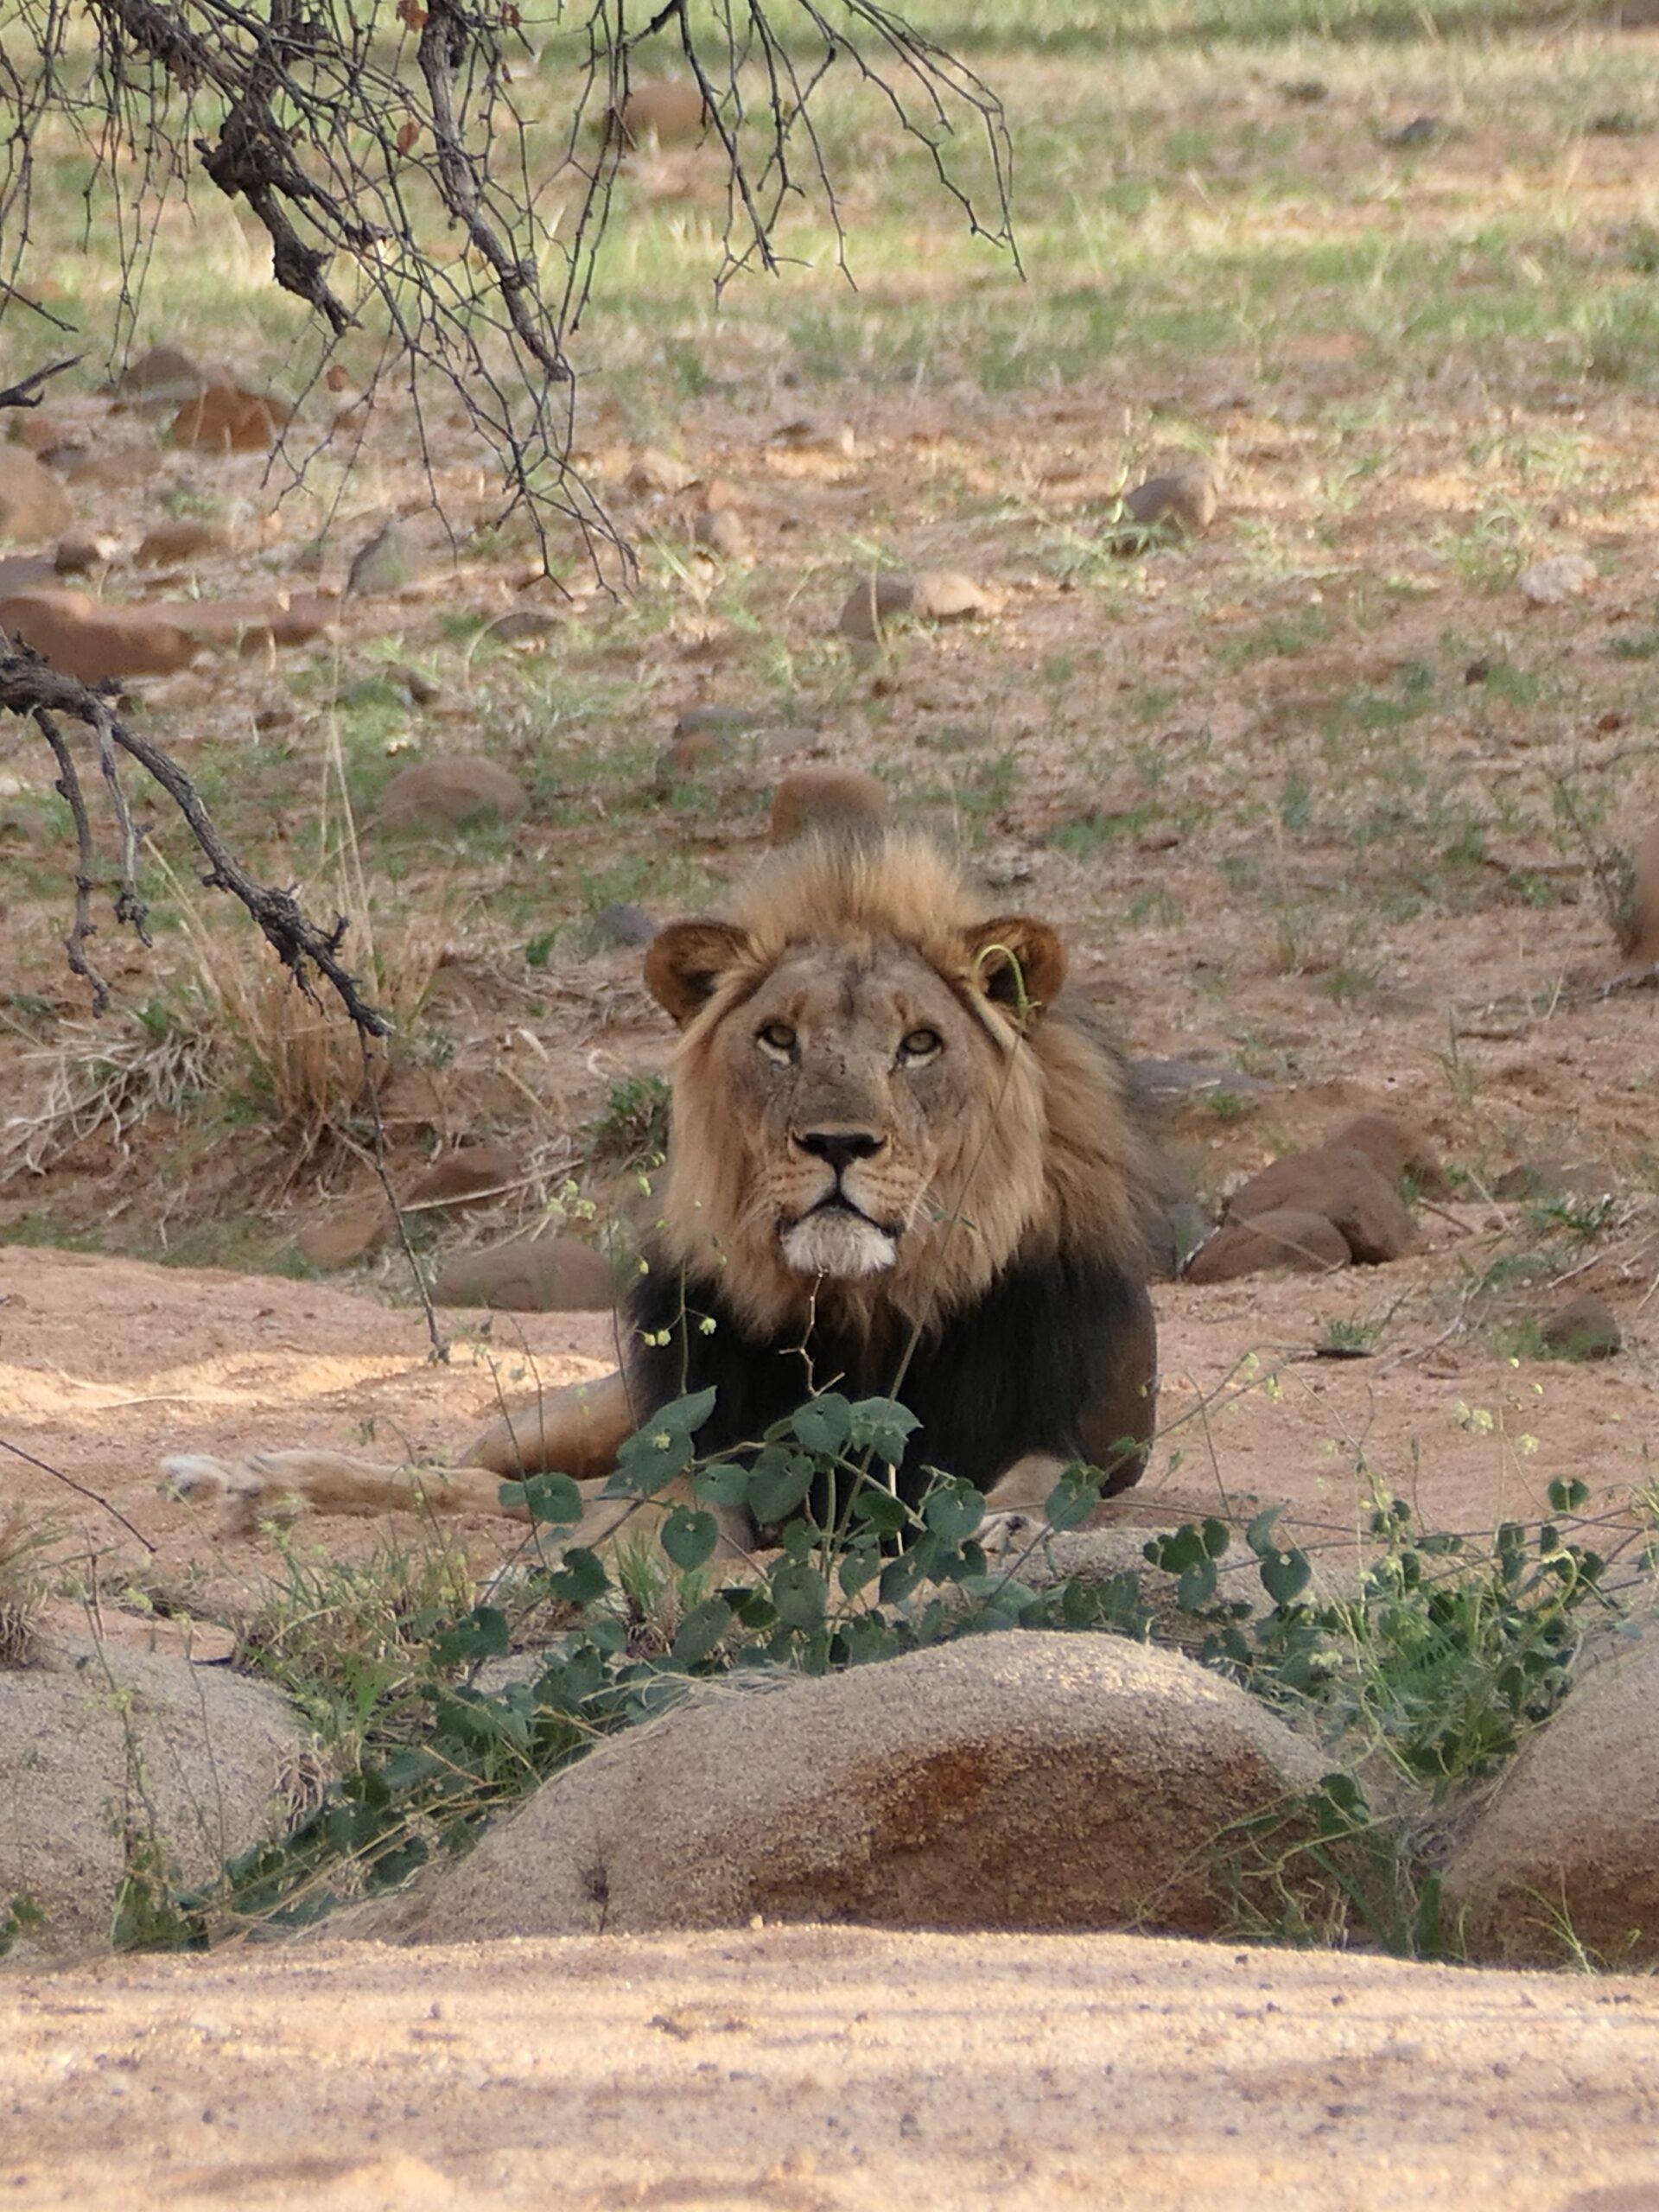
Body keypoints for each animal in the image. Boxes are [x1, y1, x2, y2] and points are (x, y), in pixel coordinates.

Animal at [165, 831, 1159, 1549]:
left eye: (919, 1044)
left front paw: (1004, 1523)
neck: (866, 1312)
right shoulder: (712, 1445)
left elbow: (1043, 1480)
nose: (838, 1143)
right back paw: (246, 1482)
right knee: (475, 1476)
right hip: (593, 1410)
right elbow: (657, 1501)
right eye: (778, 1039)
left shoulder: (1073, 1431)